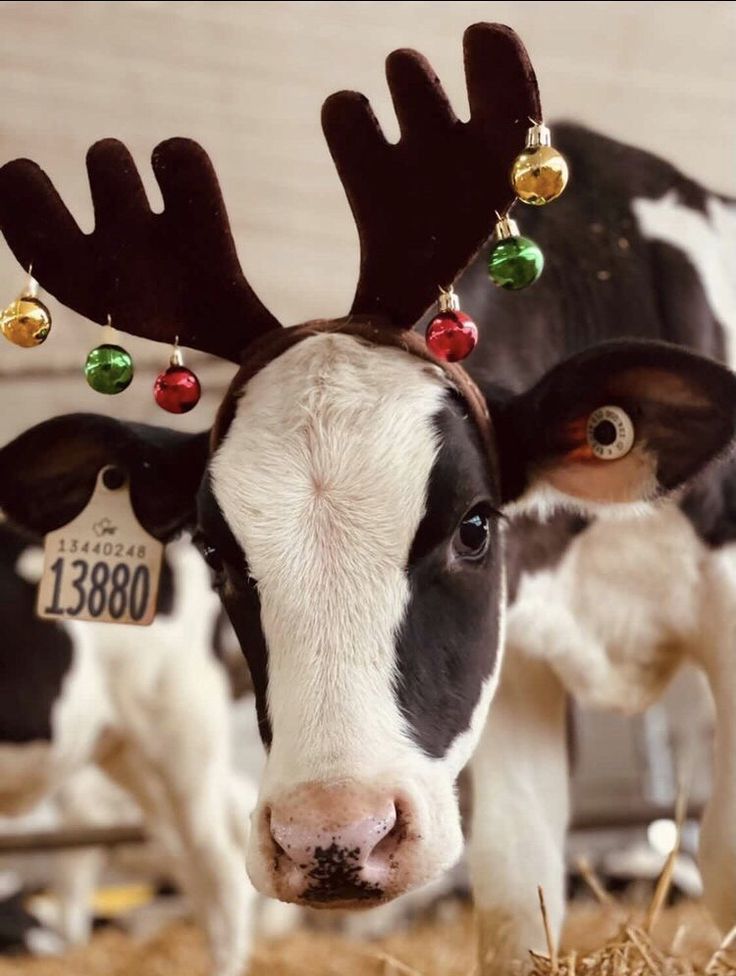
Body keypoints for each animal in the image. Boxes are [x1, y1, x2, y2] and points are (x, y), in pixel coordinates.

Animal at [1, 22, 736, 976]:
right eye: (213, 550)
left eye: (473, 527)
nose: (333, 840)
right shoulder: (516, 668)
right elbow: (515, 890)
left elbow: (725, 856)